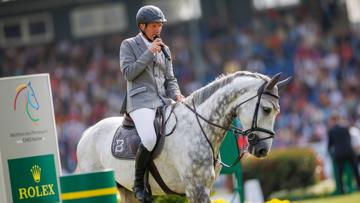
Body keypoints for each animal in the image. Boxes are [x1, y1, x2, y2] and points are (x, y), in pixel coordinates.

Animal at [76, 71, 290, 203]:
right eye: (266, 109)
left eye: (277, 112)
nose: (262, 150)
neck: (199, 127)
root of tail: (87, 133)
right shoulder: (196, 188)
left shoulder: (202, 187)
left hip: (125, 189)